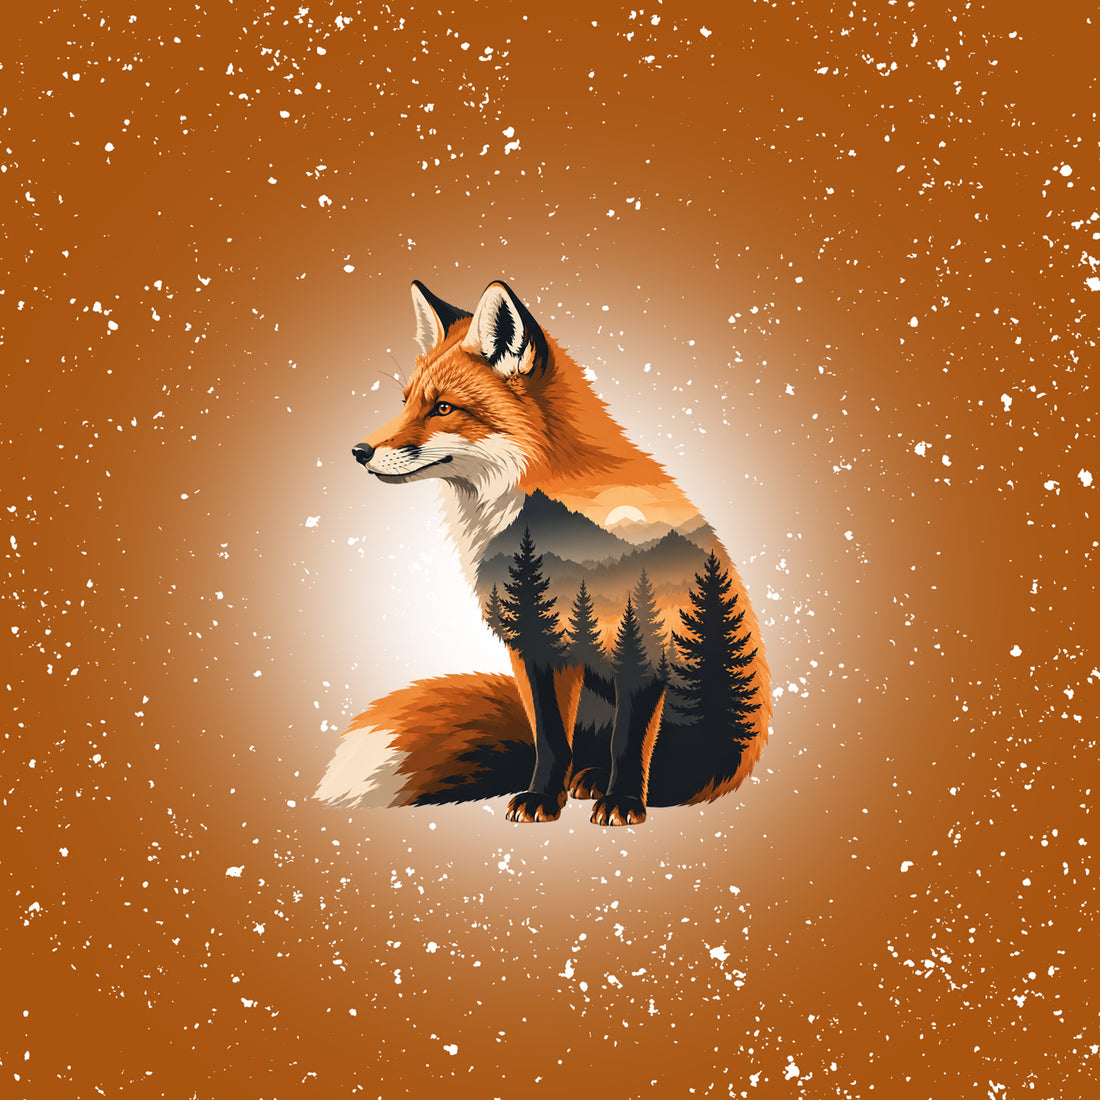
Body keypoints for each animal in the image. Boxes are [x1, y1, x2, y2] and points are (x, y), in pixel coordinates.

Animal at [314, 279, 771, 825]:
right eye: (404, 403)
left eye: (442, 408)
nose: (359, 451)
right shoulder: (533, 640)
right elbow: (551, 739)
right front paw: (541, 798)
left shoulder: (643, 639)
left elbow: (629, 741)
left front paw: (623, 802)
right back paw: (584, 779)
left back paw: (609, 785)